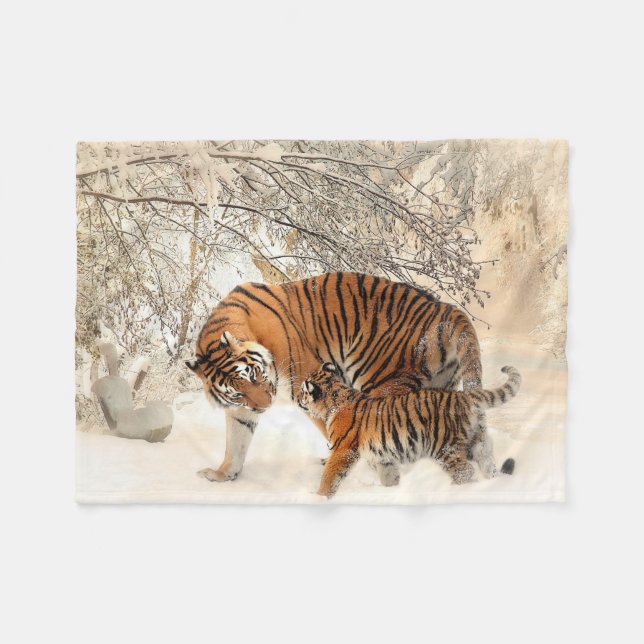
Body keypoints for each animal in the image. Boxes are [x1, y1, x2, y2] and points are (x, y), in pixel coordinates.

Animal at [186, 272, 486, 484]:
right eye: (237, 392)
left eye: (254, 375)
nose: (265, 406)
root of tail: (445, 309)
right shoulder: (241, 410)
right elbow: (235, 442)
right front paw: (222, 474)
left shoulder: (309, 383)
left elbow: (334, 428)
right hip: (438, 387)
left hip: (380, 381)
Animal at [297, 363, 521, 498]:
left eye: (302, 391)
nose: (298, 399)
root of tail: (464, 396)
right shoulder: (383, 456)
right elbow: (388, 475)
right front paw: (391, 491)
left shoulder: (342, 450)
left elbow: (329, 476)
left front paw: (319, 497)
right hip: (479, 442)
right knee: (488, 465)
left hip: (445, 448)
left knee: (465, 472)